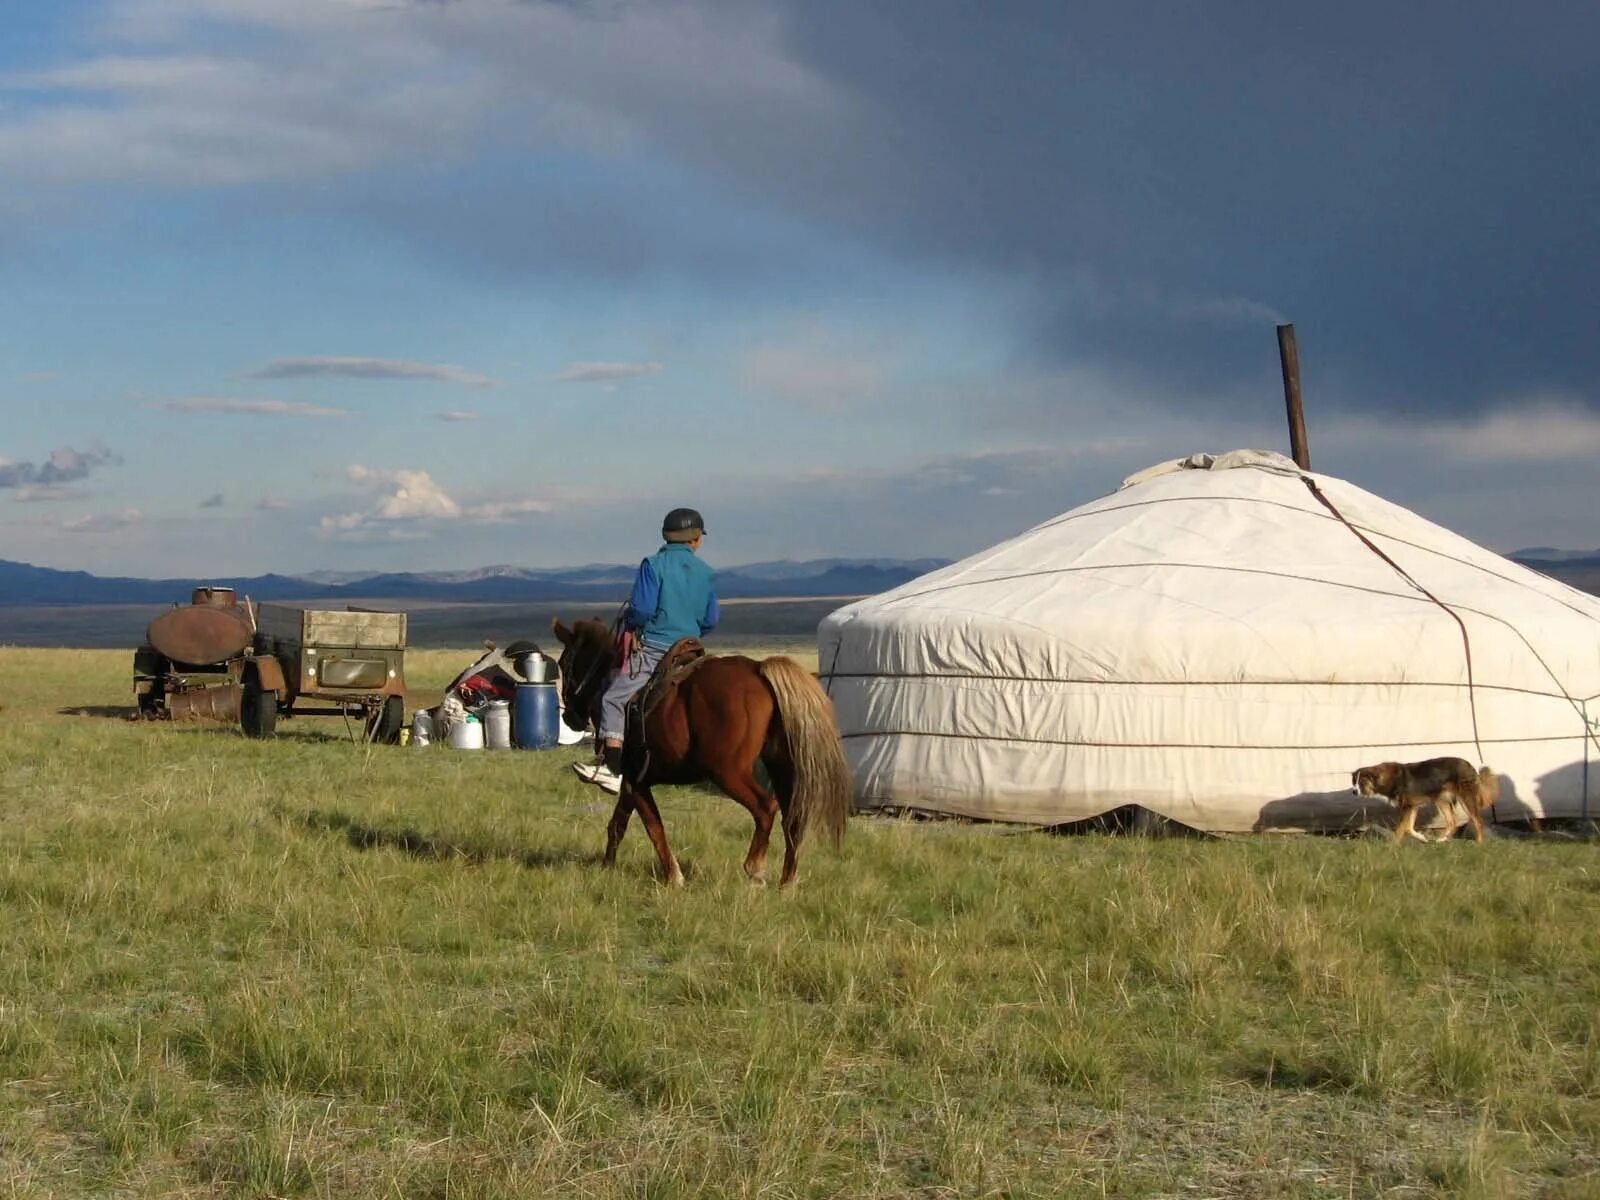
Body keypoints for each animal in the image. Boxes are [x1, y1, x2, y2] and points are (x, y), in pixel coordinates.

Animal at [550, 620, 851, 896]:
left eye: (564, 663)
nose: (569, 718)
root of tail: (759, 669)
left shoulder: (635, 780)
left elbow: (653, 827)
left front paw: (673, 877)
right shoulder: (633, 782)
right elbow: (619, 824)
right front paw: (607, 867)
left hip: (728, 771)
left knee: (765, 807)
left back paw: (755, 869)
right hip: (782, 766)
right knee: (793, 817)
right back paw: (787, 883)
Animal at [1350, 761, 1497, 844]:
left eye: (1361, 782)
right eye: (1353, 782)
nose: (1354, 792)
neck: (1386, 778)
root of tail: (1469, 765)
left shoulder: (1407, 806)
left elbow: (1400, 829)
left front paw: (1392, 845)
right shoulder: (1413, 806)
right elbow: (1409, 828)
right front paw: (1422, 838)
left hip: (1465, 798)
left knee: (1478, 821)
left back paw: (1479, 843)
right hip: (1440, 799)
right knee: (1452, 822)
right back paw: (1443, 840)